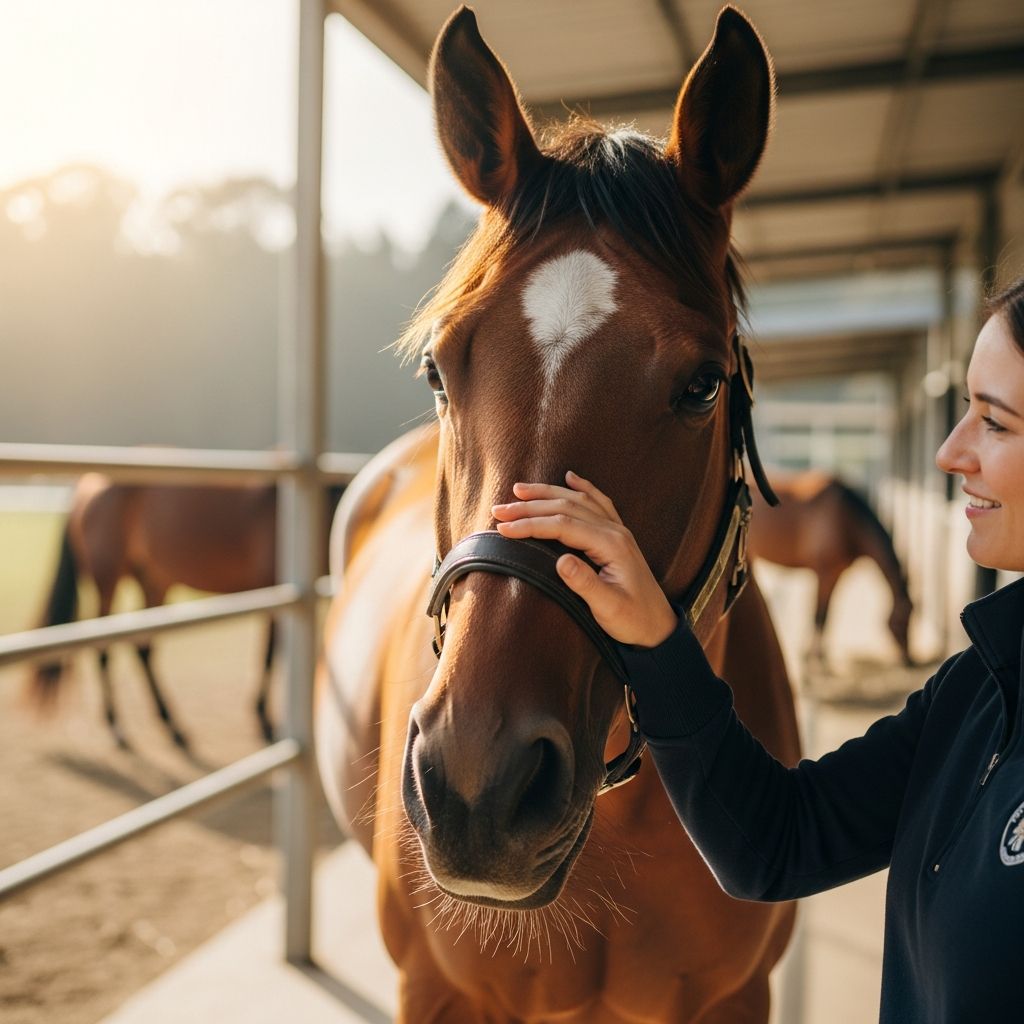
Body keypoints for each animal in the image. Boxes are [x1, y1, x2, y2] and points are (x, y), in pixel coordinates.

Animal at [30, 476, 342, 749]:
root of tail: (88, 482)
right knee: (104, 648)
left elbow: (271, 655)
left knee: (143, 648)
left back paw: (172, 725)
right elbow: (270, 656)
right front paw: (264, 720)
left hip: (153, 581)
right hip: (108, 580)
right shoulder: (276, 593)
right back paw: (116, 726)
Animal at [747, 471, 914, 667]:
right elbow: (819, 614)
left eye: (913, 617)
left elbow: (828, 614)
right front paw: (813, 656)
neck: (844, 519)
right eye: (901, 621)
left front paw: (819, 654)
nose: (909, 660)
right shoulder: (824, 573)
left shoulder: (838, 573)